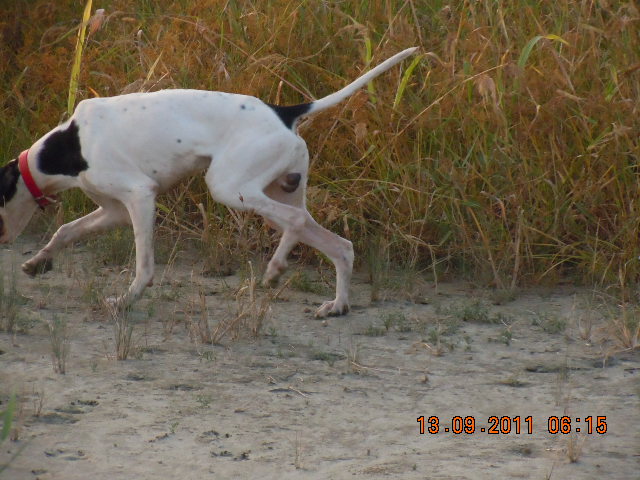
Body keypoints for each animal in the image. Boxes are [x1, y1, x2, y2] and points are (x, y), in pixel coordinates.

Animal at [0, 47, 417, 317]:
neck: (70, 144)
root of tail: (284, 112)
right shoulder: (113, 211)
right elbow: (66, 231)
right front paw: (38, 262)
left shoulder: (140, 197)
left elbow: (144, 266)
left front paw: (126, 301)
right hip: (275, 192)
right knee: (339, 246)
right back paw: (336, 303)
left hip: (231, 188)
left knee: (300, 224)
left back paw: (277, 270)